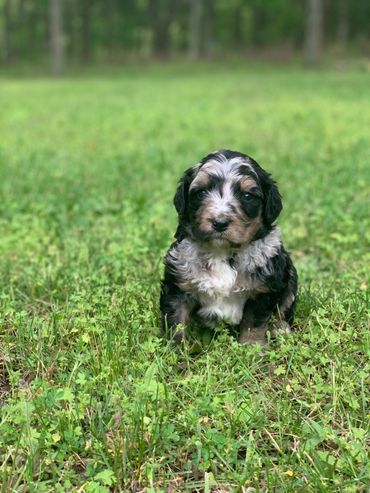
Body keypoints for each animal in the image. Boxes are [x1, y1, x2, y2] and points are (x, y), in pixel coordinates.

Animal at [160, 148, 298, 344]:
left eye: (247, 196)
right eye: (201, 192)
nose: (219, 223)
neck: (222, 251)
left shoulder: (265, 288)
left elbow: (254, 322)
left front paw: (252, 347)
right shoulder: (177, 285)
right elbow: (176, 321)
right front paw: (175, 347)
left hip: (291, 277)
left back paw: (281, 329)